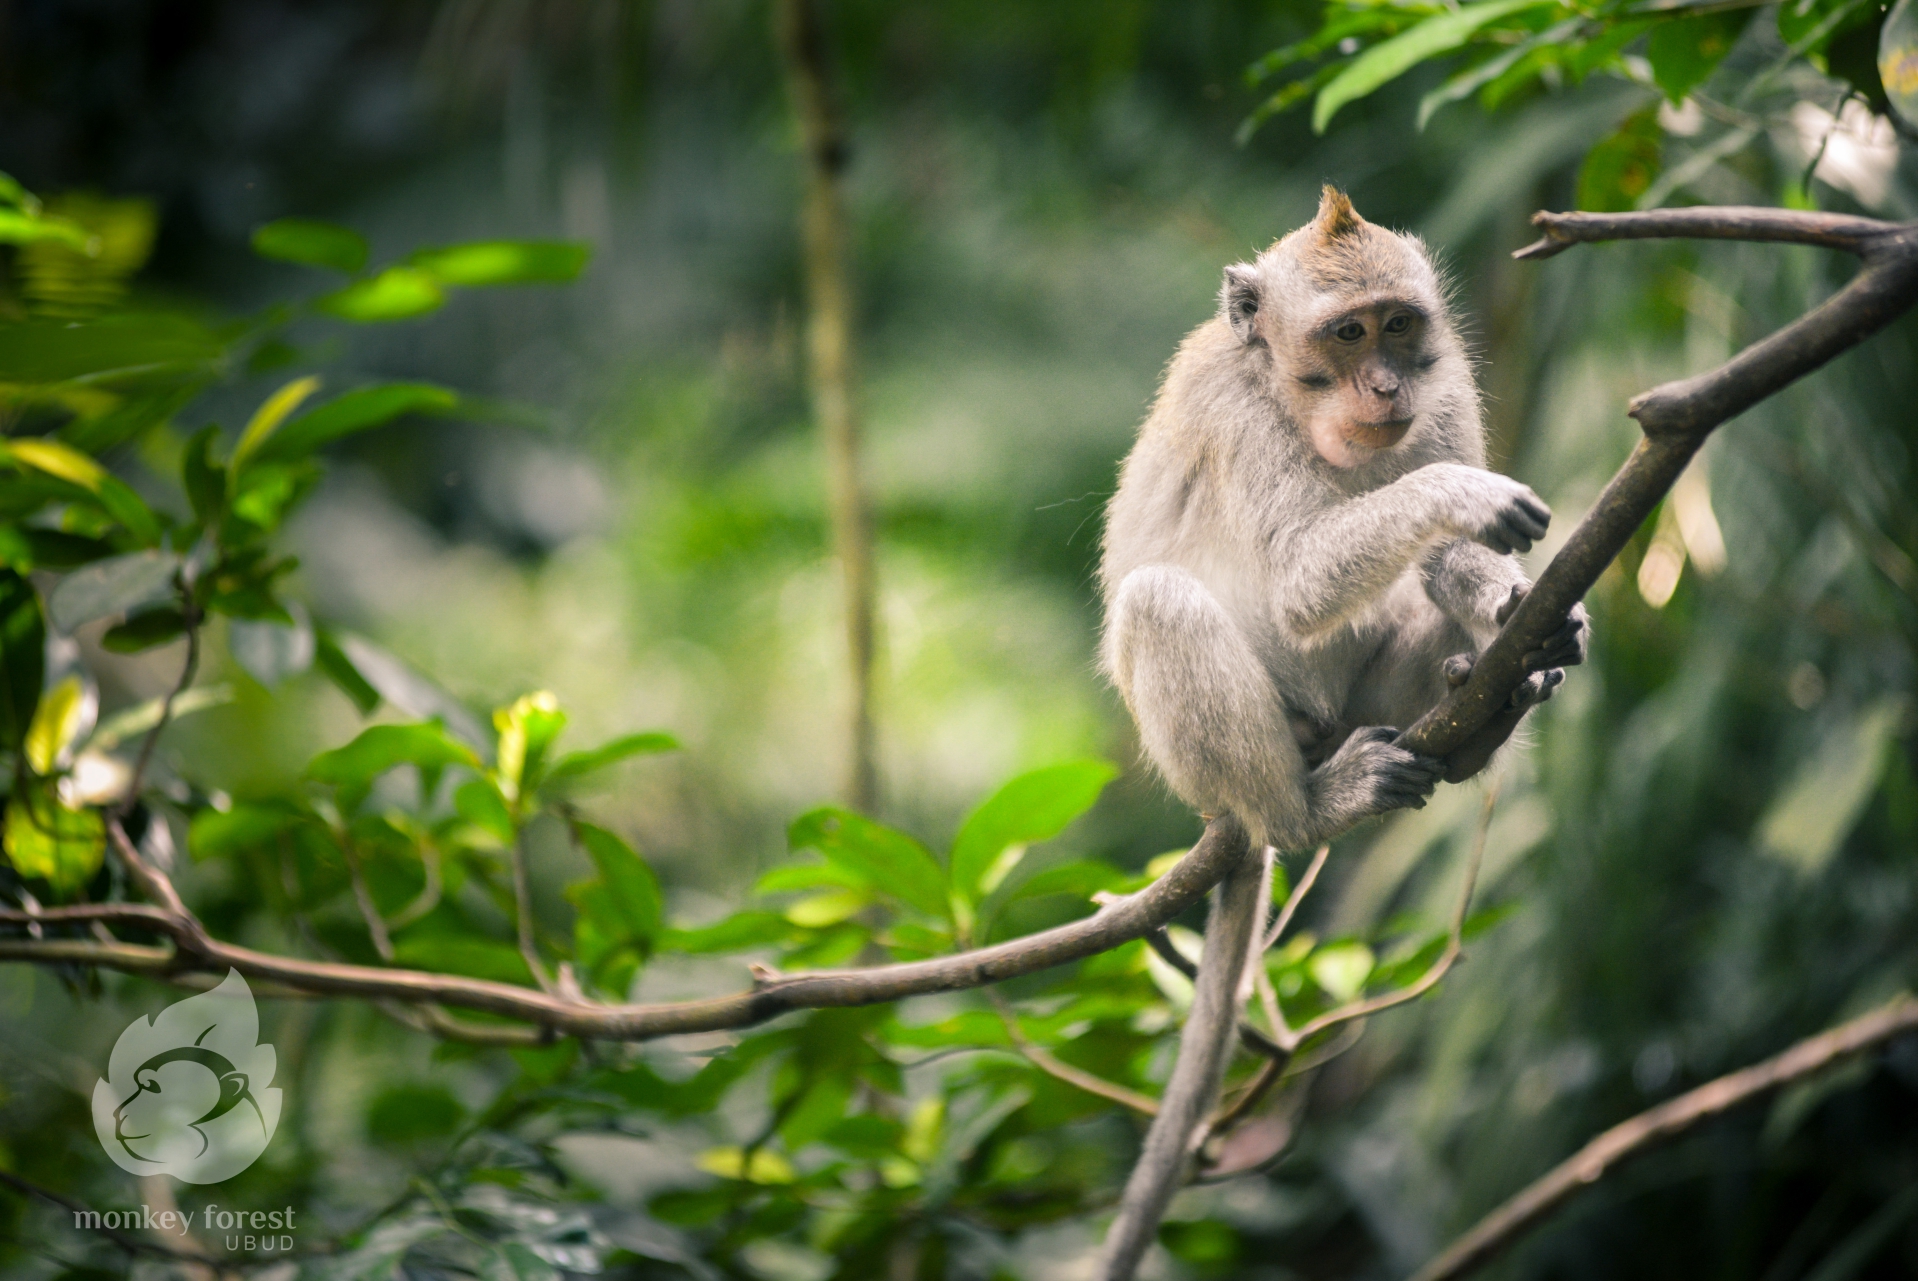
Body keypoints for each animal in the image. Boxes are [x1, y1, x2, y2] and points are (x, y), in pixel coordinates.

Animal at [1097, 189, 1588, 1281]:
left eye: (1399, 326)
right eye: (1346, 334)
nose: (1384, 383)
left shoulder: (1445, 391)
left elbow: (1442, 560)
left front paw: (1513, 601)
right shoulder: (1237, 411)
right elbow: (1296, 576)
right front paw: (1457, 498)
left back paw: (1487, 704)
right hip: (1250, 755)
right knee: (1160, 604)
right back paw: (1307, 814)